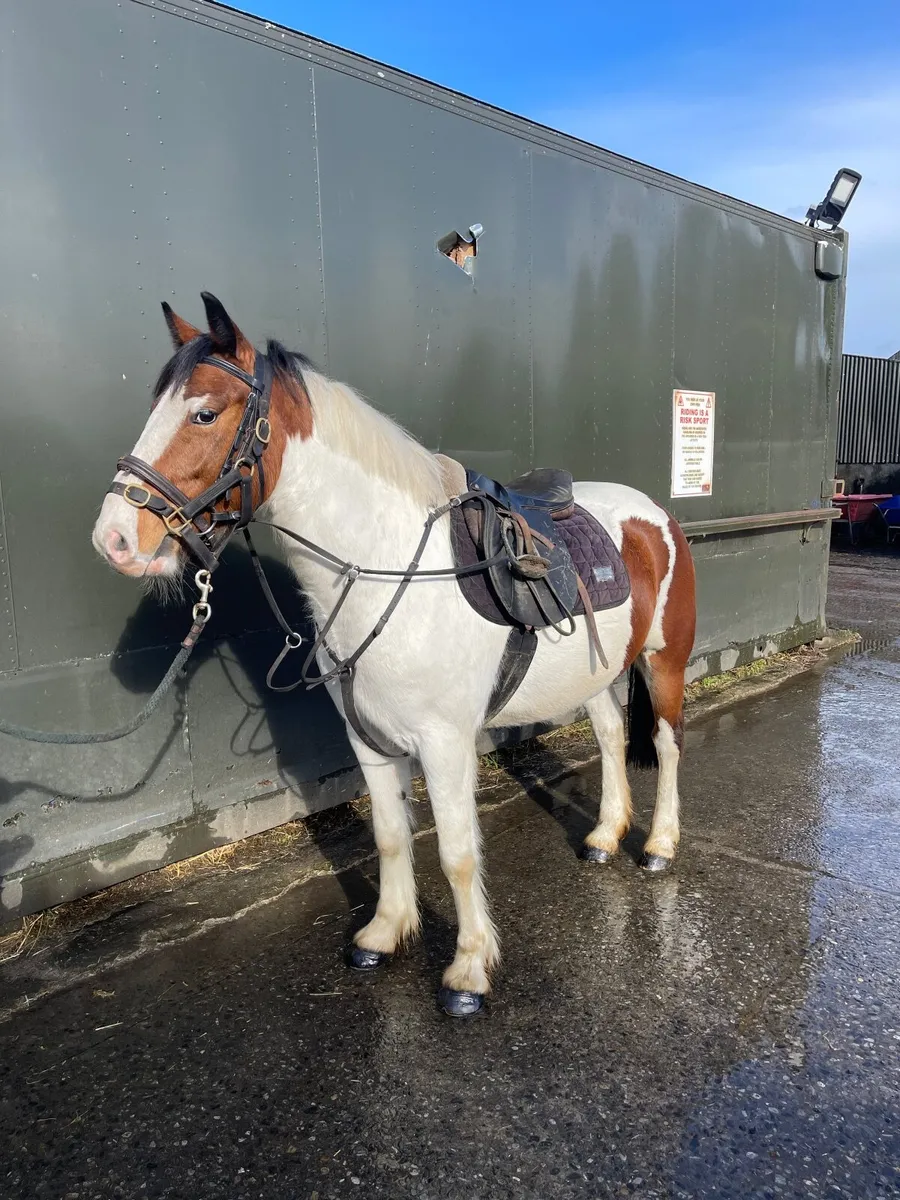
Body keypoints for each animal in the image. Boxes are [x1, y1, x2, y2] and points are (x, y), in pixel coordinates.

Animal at [92, 293, 696, 1016]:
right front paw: (385, 933)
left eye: (204, 413)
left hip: (664, 663)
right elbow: (389, 835)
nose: (115, 538)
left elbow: (458, 853)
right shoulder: (370, 740)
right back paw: (605, 836)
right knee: (608, 737)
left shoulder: (445, 744)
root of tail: (653, 514)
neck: (389, 569)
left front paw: (468, 971)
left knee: (665, 745)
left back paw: (659, 845)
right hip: (596, 676)